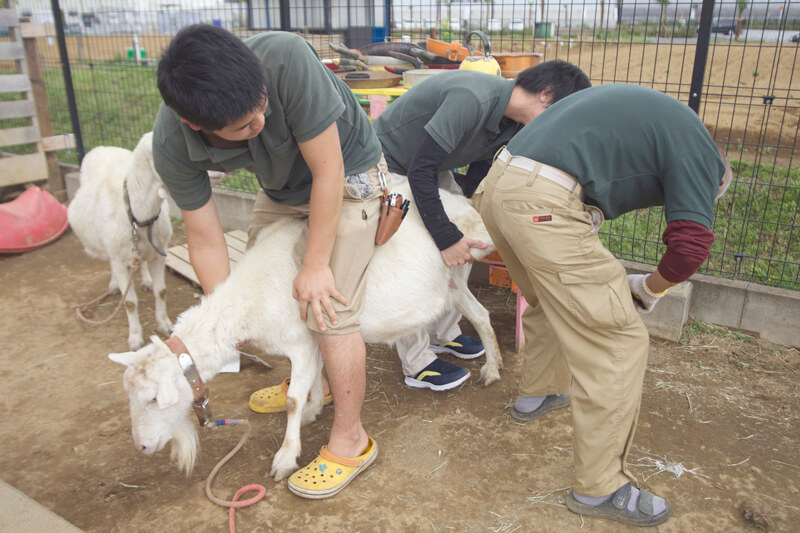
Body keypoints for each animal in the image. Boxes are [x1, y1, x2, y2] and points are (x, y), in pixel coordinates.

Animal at [68, 132, 173, 350]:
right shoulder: (118, 258)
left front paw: (165, 325)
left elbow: (161, 291)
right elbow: (130, 302)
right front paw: (135, 338)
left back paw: (146, 280)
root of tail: (103, 147)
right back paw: (115, 284)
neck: (139, 216)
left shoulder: (159, 254)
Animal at [109, 182, 504, 478]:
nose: (142, 446)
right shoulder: (313, 337)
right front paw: (315, 408)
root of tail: (464, 206)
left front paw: (285, 458)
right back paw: (493, 369)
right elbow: (314, 379)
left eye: (153, 399)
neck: (252, 295)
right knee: (482, 315)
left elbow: (293, 400)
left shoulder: (300, 340)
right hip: (453, 280)